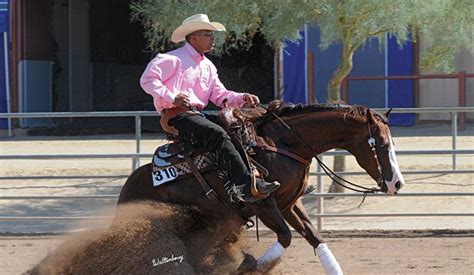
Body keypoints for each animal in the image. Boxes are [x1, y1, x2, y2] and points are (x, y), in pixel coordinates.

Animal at [115, 102, 404, 275]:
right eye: (379, 144)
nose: (396, 183)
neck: (281, 144)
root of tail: (128, 187)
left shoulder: (289, 203)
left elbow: (314, 236)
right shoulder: (262, 204)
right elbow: (285, 237)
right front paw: (251, 265)